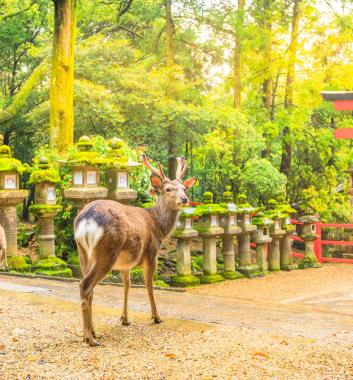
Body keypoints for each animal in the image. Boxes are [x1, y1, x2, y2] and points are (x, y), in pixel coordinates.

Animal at [74, 153, 197, 346]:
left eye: (184, 188)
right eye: (168, 189)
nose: (184, 199)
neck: (159, 226)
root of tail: (86, 220)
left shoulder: (125, 264)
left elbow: (127, 285)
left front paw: (125, 318)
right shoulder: (152, 253)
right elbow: (149, 284)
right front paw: (156, 317)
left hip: (83, 252)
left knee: (90, 289)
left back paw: (93, 332)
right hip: (107, 252)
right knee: (85, 285)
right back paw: (89, 338)